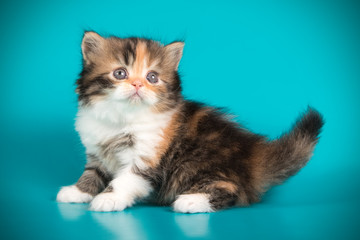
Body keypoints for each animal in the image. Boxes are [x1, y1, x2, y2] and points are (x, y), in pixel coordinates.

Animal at [56, 31, 324, 213]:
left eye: (152, 77)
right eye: (120, 73)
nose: (138, 84)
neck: (122, 118)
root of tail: (253, 157)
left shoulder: (148, 156)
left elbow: (125, 180)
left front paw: (108, 198)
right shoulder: (97, 152)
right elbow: (92, 173)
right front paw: (77, 191)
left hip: (195, 164)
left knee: (232, 190)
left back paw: (191, 200)